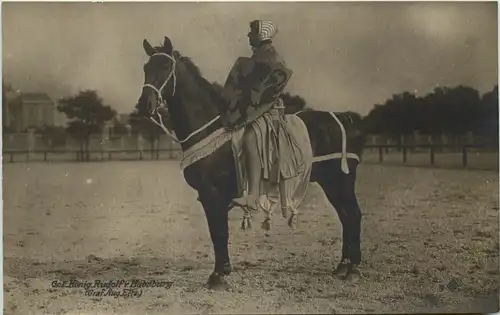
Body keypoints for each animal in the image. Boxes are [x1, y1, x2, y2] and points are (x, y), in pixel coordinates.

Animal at [139, 37, 366, 292]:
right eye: (146, 68)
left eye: (165, 67)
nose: (144, 104)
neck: (209, 126)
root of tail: (344, 118)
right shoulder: (210, 196)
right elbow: (217, 231)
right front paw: (222, 271)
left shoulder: (212, 193)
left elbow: (218, 232)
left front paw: (218, 276)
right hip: (332, 183)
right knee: (346, 216)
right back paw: (344, 266)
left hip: (341, 181)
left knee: (353, 215)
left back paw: (352, 269)